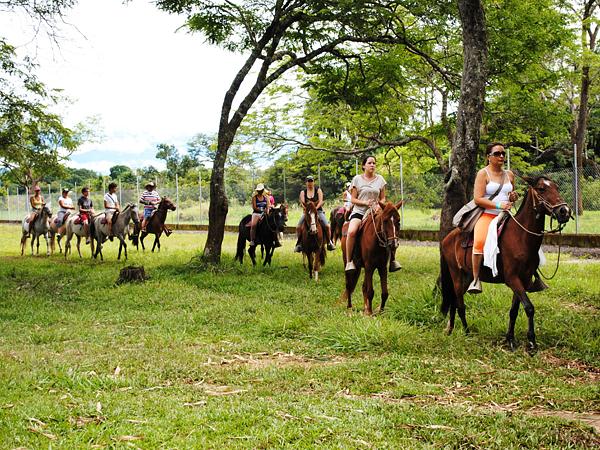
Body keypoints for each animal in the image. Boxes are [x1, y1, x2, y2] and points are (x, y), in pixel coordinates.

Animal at [440, 174, 572, 354]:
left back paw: (451, 329)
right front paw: (532, 343)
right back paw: (466, 333)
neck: (520, 237)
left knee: (454, 301)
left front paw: (510, 339)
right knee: (459, 303)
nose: (564, 211)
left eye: (556, 187)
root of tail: (447, 238)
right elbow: (529, 308)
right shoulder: (512, 279)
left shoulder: (523, 281)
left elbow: (514, 311)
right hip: (456, 274)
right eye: (541, 189)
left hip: (466, 276)